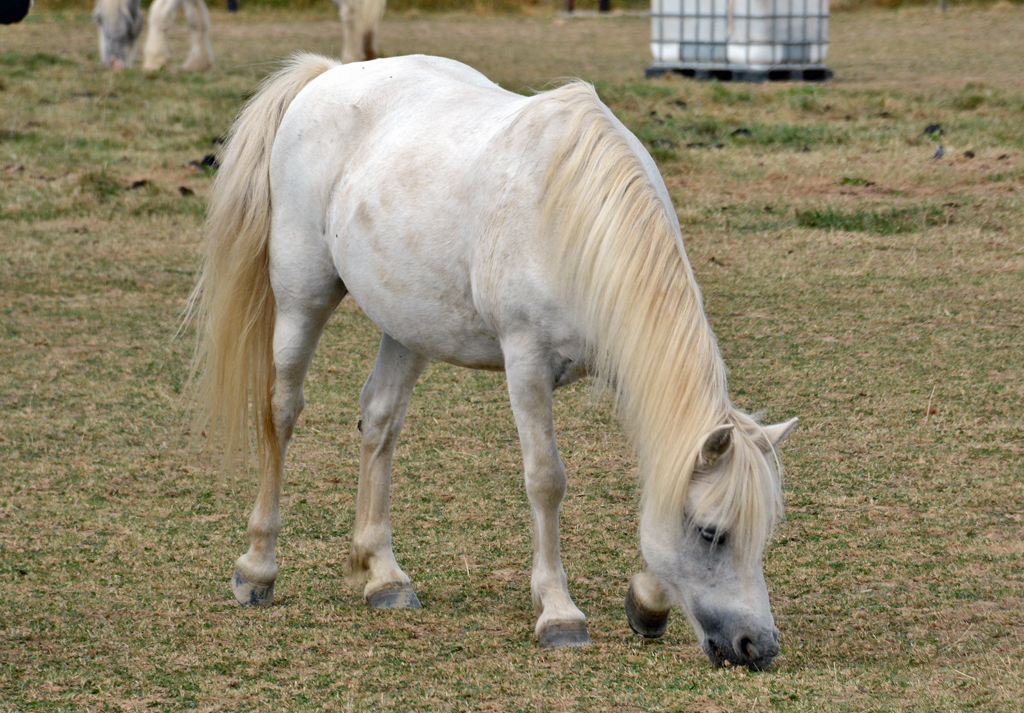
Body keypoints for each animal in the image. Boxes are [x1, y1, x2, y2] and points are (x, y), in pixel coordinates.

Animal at [192, 51, 798, 667]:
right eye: (711, 533)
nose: (758, 645)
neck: (572, 217)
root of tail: (327, 74)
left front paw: (647, 602)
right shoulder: (526, 361)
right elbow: (546, 479)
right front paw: (558, 611)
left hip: (407, 324)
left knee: (379, 420)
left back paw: (383, 575)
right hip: (302, 296)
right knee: (282, 410)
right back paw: (258, 568)